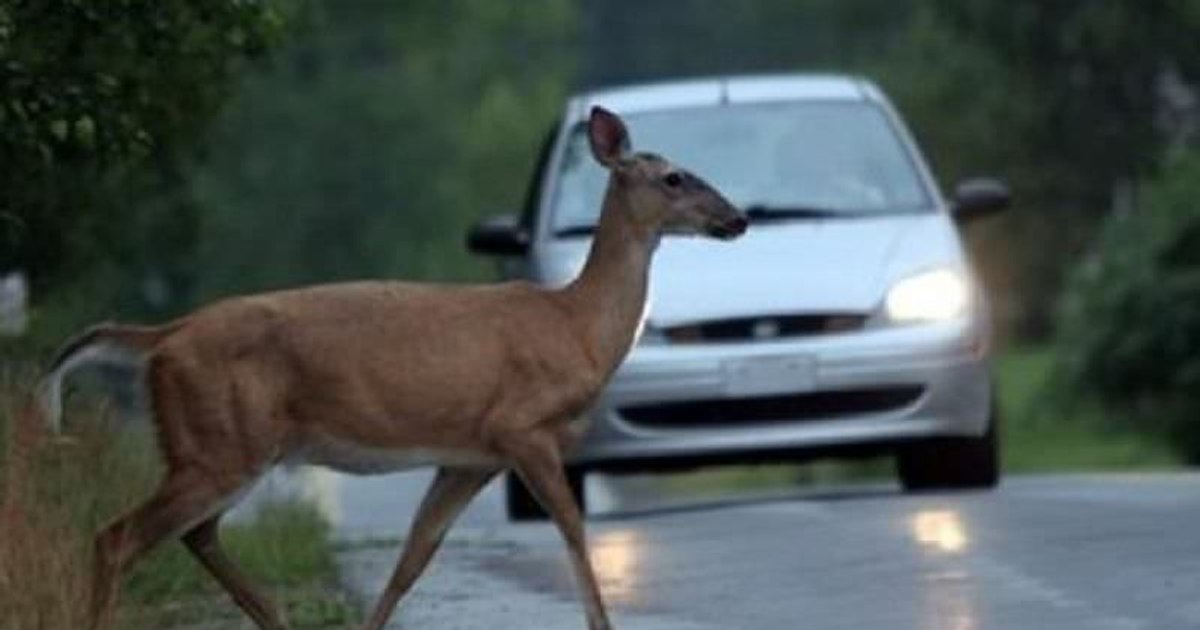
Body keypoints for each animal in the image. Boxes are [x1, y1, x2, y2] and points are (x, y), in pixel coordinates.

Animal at [35, 106, 748, 630]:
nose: (737, 218)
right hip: (219, 441)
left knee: (195, 534)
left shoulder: (468, 457)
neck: (576, 324)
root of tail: (164, 336)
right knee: (117, 538)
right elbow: (573, 530)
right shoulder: (523, 426)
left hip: (224, 445)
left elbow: (413, 559)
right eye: (674, 177)